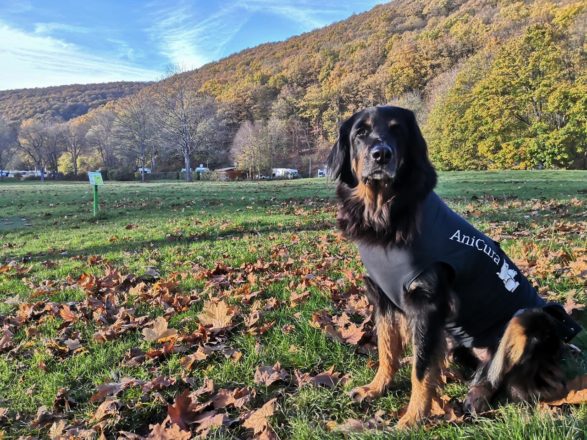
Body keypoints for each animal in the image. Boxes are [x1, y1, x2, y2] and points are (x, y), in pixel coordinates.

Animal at [328, 105, 580, 428]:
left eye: (397, 130)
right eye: (360, 132)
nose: (381, 154)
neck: (385, 213)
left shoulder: (427, 305)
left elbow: (421, 369)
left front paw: (412, 417)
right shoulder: (383, 299)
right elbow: (387, 351)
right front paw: (376, 388)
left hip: (528, 318)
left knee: (500, 374)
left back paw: (477, 398)